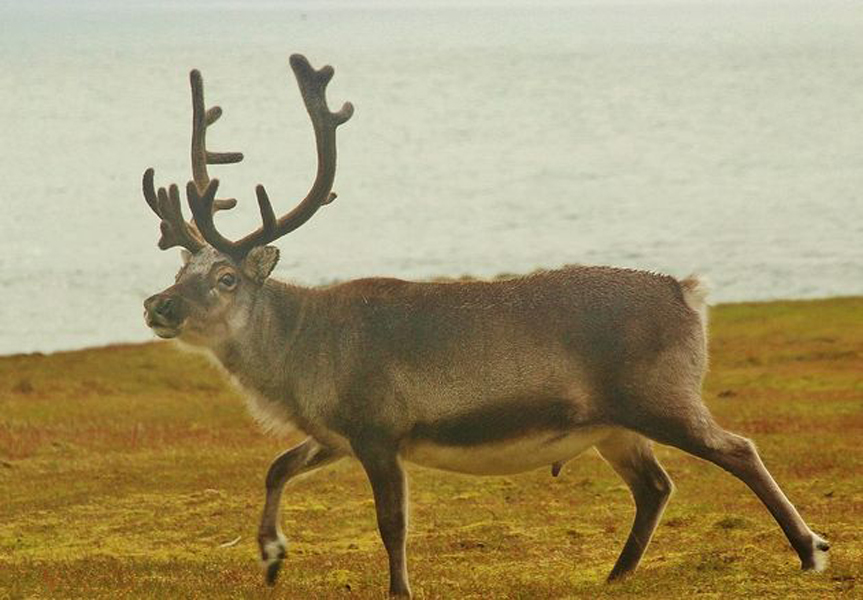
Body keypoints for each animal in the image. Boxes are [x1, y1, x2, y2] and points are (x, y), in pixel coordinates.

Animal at [141, 54, 829, 598]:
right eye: (181, 267)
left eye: (225, 277)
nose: (157, 305)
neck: (299, 361)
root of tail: (689, 292)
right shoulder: (336, 433)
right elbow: (277, 466)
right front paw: (271, 554)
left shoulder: (378, 428)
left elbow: (392, 524)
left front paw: (400, 590)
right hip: (614, 425)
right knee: (655, 485)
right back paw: (617, 574)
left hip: (659, 396)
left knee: (737, 449)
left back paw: (810, 549)